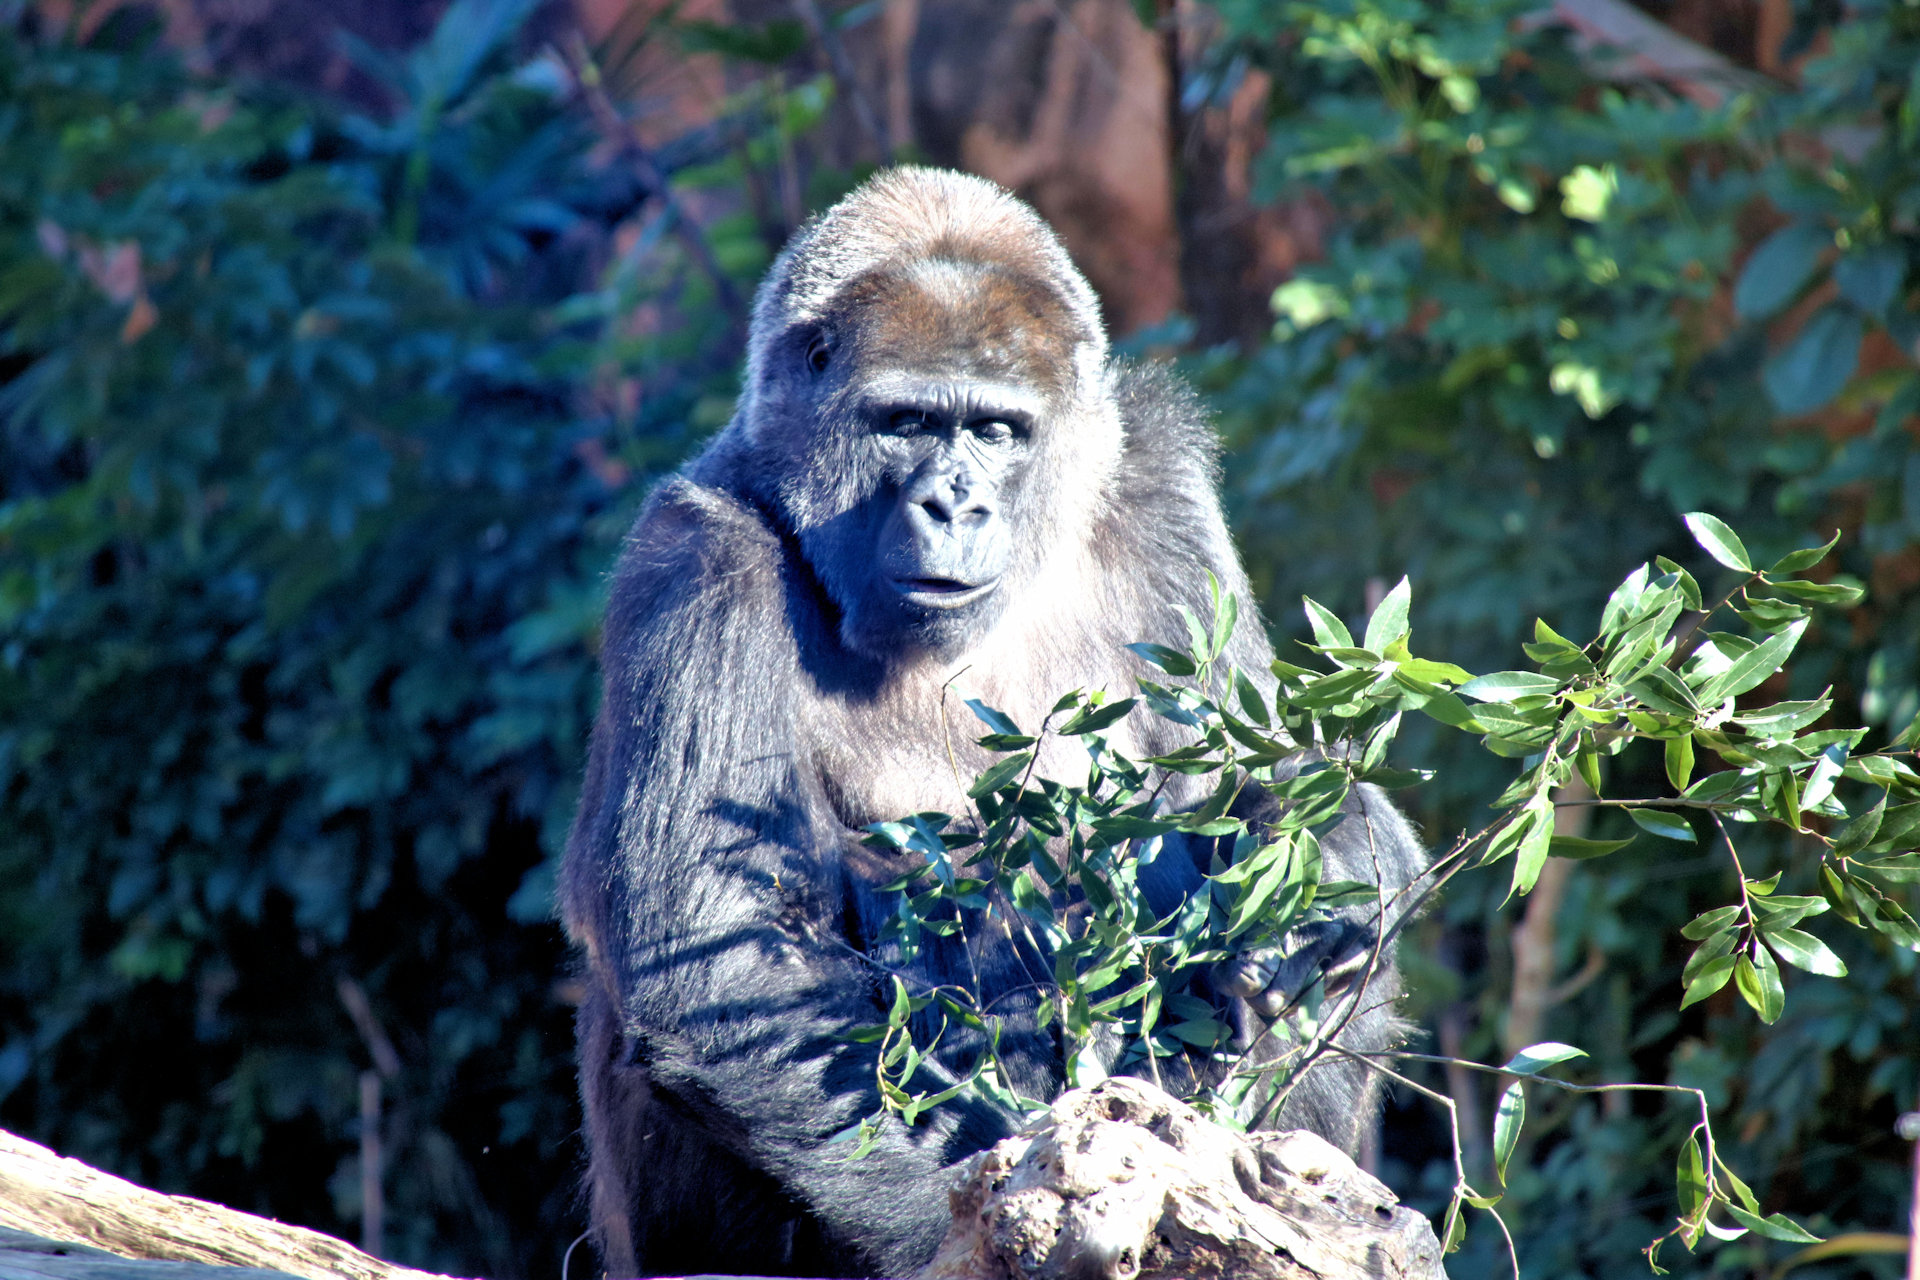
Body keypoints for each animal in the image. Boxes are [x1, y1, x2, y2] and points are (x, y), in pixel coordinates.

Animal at [556, 169, 1428, 1280]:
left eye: (996, 431)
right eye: (905, 421)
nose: (952, 505)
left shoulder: (1162, 491)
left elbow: (1262, 785)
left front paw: (1323, 869)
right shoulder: (698, 562)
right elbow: (725, 956)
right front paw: (976, 1218)